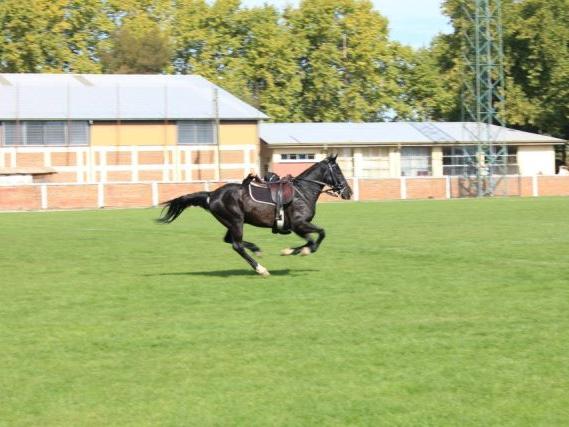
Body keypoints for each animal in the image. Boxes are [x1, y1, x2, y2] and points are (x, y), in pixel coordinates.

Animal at [156, 154, 350, 278]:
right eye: (338, 172)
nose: (349, 192)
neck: (302, 192)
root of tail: (212, 194)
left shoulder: (298, 226)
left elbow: (313, 238)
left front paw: (290, 251)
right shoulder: (298, 224)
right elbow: (318, 236)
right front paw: (302, 251)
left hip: (232, 223)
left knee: (231, 241)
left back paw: (256, 249)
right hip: (236, 221)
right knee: (237, 245)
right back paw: (261, 269)